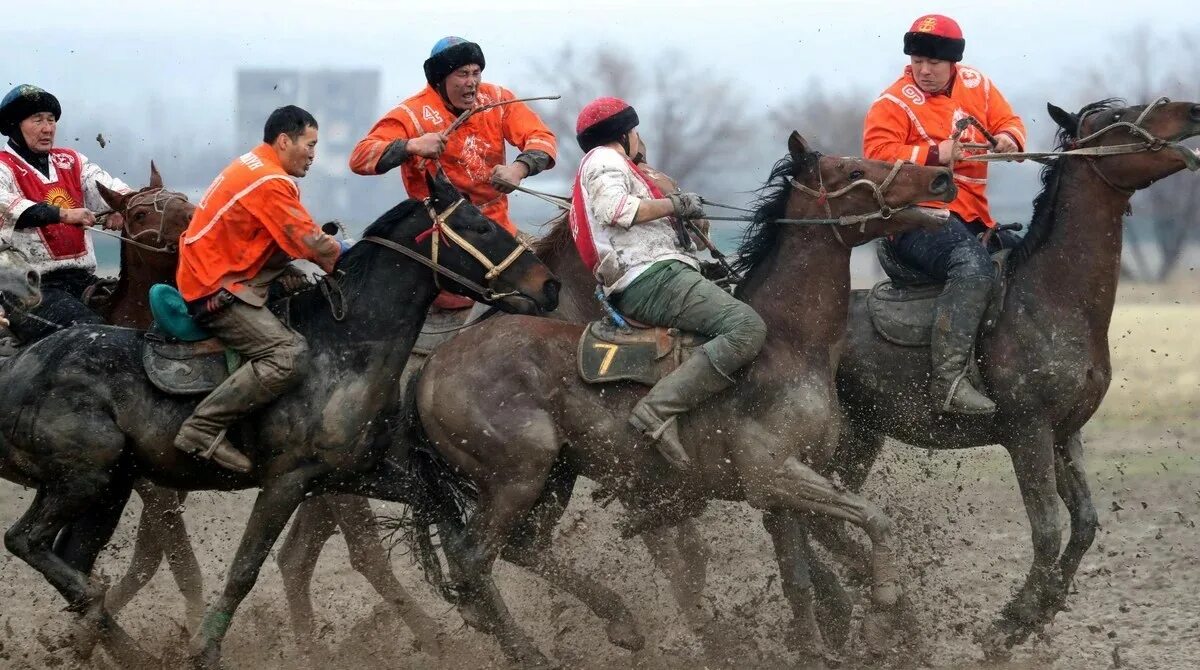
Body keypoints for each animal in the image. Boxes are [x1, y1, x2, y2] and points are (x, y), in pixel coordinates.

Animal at [0, 174, 559, 670]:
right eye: (480, 227)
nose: (549, 285)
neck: (342, 345)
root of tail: (22, 366)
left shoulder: (358, 475)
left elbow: (458, 540)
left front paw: (518, 642)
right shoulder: (286, 481)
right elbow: (244, 569)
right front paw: (205, 651)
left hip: (110, 489)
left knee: (70, 557)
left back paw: (118, 645)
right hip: (83, 480)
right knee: (26, 542)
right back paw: (105, 617)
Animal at [410, 133, 955, 667]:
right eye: (852, 170)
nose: (941, 177)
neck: (790, 344)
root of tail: (432, 368)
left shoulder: (781, 493)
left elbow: (799, 581)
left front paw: (821, 647)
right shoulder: (776, 475)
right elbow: (874, 520)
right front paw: (881, 614)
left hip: (552, 480)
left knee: (522, 550)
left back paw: (620, 621)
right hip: (516, 479)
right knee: (473, 560)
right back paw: (529, 651)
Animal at [825, 97, 1200, 657]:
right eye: (1117, 118)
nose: (1193, 110)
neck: (1050, 298)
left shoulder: (1066, 432)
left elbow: (1085, 523)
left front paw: (1039, 612)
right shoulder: (1028, 433)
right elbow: (1046, 530)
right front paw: (1009, 623)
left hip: (860, 438)